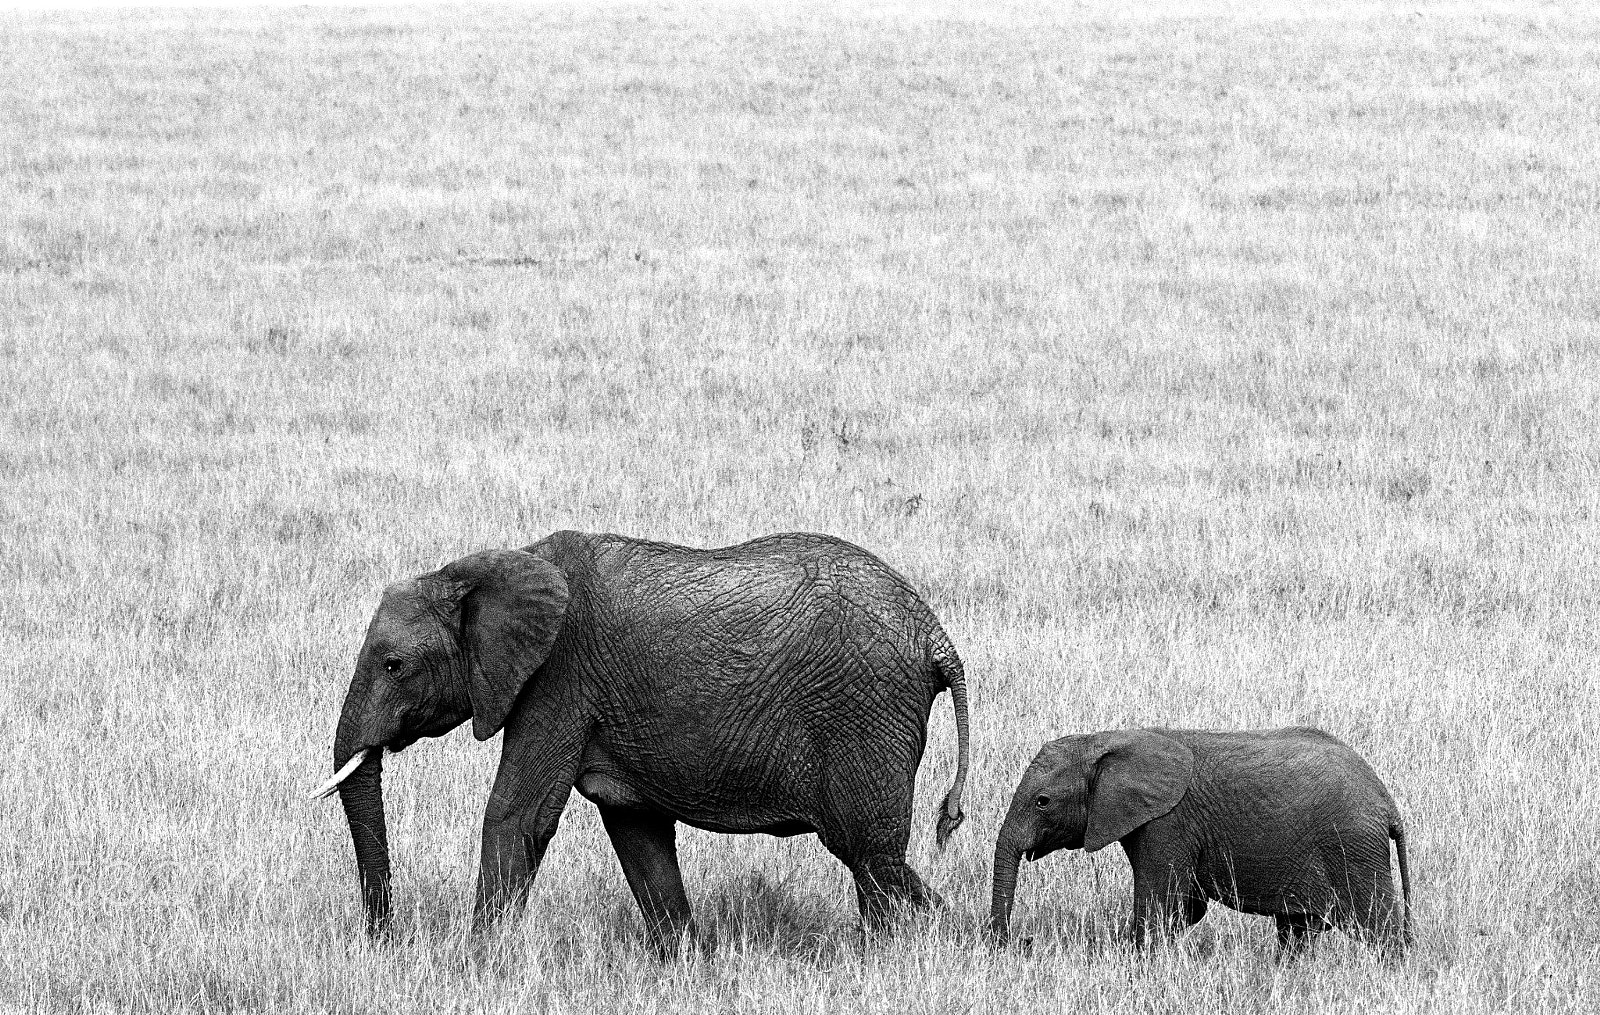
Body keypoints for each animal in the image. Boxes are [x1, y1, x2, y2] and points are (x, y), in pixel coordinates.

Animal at [305, 525, 966, 954]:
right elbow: (635, 828)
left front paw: (475, 965)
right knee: (872, 857)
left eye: (394, 665)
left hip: (865, 712)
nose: (385, 941)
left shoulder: (558, 680)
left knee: (868, 852)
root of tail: (935, 635)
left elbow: (518, 815)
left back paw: (913, 947)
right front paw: (685, 963)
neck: (484, 568)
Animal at [985, 726, 1414, 947]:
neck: (1110, 740)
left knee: (1379, 926)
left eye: (1042, 802)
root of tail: (1388, 805)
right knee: (1297, 930)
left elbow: (1160, 905)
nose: (1018, 943)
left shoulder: (1168, 823)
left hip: (1353, 845)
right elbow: (1186, 909)